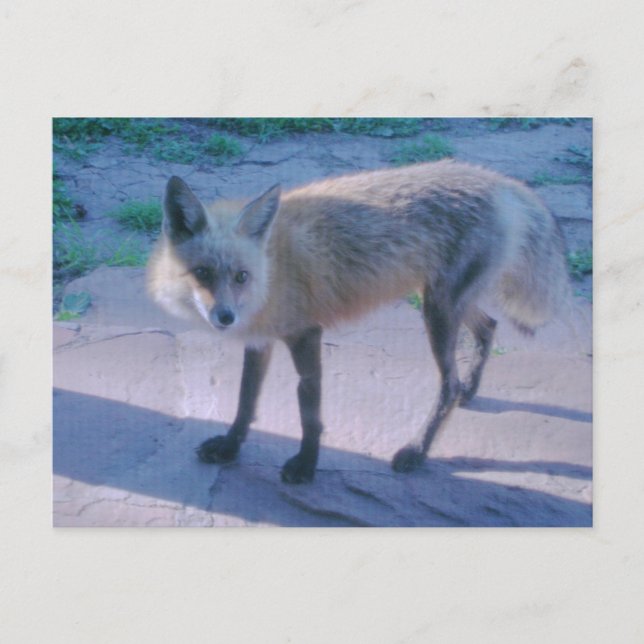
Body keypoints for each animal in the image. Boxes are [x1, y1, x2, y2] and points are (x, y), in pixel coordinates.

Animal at [147, 160, 570, 483]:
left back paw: (417, 450)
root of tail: (500, 181)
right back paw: (470, 389)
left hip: (437, 310)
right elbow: (245, 402)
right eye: (202, 273)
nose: (226, 317)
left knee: (447, 384)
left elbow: (309, 412)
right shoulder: (260, 340)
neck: (274, 267)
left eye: (240, 276)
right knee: (489, 327)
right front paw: (230, 446)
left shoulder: (305, 334)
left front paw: (306, 465)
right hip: (447, 302)